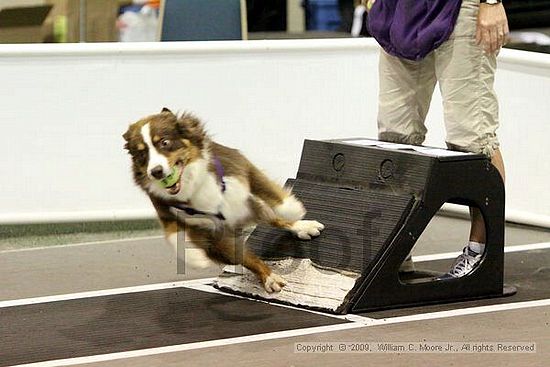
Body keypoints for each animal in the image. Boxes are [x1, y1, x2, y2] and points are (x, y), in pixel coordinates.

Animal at [123, 109, 326, 294]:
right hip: (223, 241)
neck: (191, 185)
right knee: (247, 256)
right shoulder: (169, 211)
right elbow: (174, 232)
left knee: (272, 217)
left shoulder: (239, 166)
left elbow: (266, 188)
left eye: (165, 143)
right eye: (142, 154)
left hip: (251, 205)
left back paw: (302, 226)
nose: (156, 172)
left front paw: (293, 209)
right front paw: (194, 257)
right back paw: (270, 277)